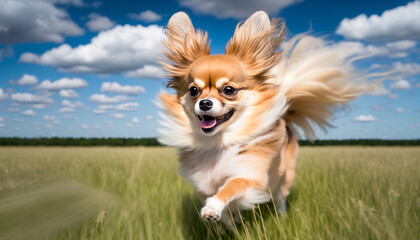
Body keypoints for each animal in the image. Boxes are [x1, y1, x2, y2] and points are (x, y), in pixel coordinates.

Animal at [157, 11, 364, 229]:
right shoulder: (203, 184)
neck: (218, 142)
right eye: (194, 91)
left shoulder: (250, 175)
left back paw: (281, 214)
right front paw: (227, 222)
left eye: (229, 90)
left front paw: (213, 208)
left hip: (285, 176)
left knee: (281, 196)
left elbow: (229, 187)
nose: (205, 103)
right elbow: (216, 204)